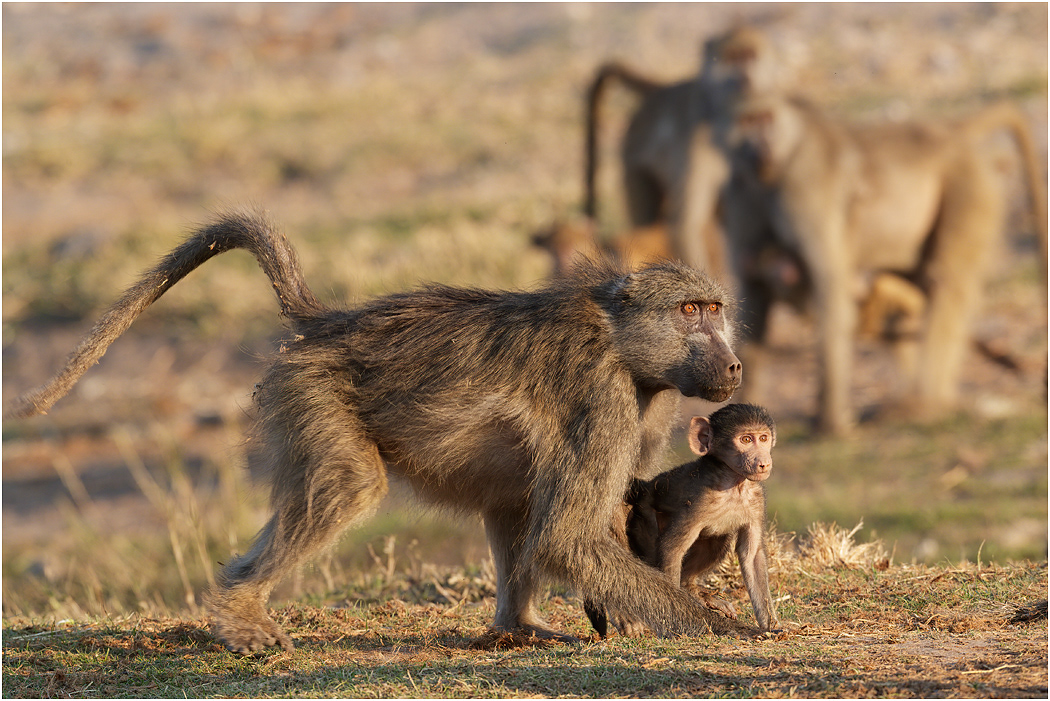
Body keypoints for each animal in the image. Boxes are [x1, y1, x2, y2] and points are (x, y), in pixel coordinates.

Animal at [6, 209, 750, 654]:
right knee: (349, 483)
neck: (622, 340)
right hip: (313, 392)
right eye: (690, 311)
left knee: (512, 493)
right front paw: (719, 626)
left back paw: (517, 628)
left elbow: (561, 525)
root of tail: (331, 322)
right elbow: (568, 534)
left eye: (716, 309)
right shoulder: (603, 397)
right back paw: (240, 612)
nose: (734, 364)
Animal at [585, 403, 779, 638]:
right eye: (746, 440)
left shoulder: (756, 499)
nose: (764, 462)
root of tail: (644, 488)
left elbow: (752, 556)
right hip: (643, 517)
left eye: (763, 438)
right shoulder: (699, 500)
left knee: (717, 539)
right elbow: (672, 548)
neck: (733, 483)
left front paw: (772, 625)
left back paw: (694, 591)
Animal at [718, 94, 1048, 433]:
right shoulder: (742, 203)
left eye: (764, 120)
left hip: (967, 188)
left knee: (942, 284)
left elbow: (830, 291)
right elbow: (755, 302)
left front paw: (832, 425)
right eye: (746, 122)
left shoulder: (808, 197)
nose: (761, 149)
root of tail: (948, 132)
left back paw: (925, 404)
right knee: (912, 295)